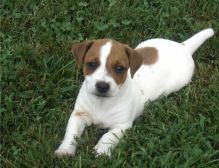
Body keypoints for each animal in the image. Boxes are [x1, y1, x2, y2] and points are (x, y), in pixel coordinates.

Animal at [54, 28, 214, 157]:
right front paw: (65, 150)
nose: (102, 86)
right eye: (91, 64)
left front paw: (102, 151)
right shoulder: (79, 115)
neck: (102, 102)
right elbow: (71, 133)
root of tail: (183, 46)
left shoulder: (122, 125)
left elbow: (108, 136)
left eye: (120, 68)